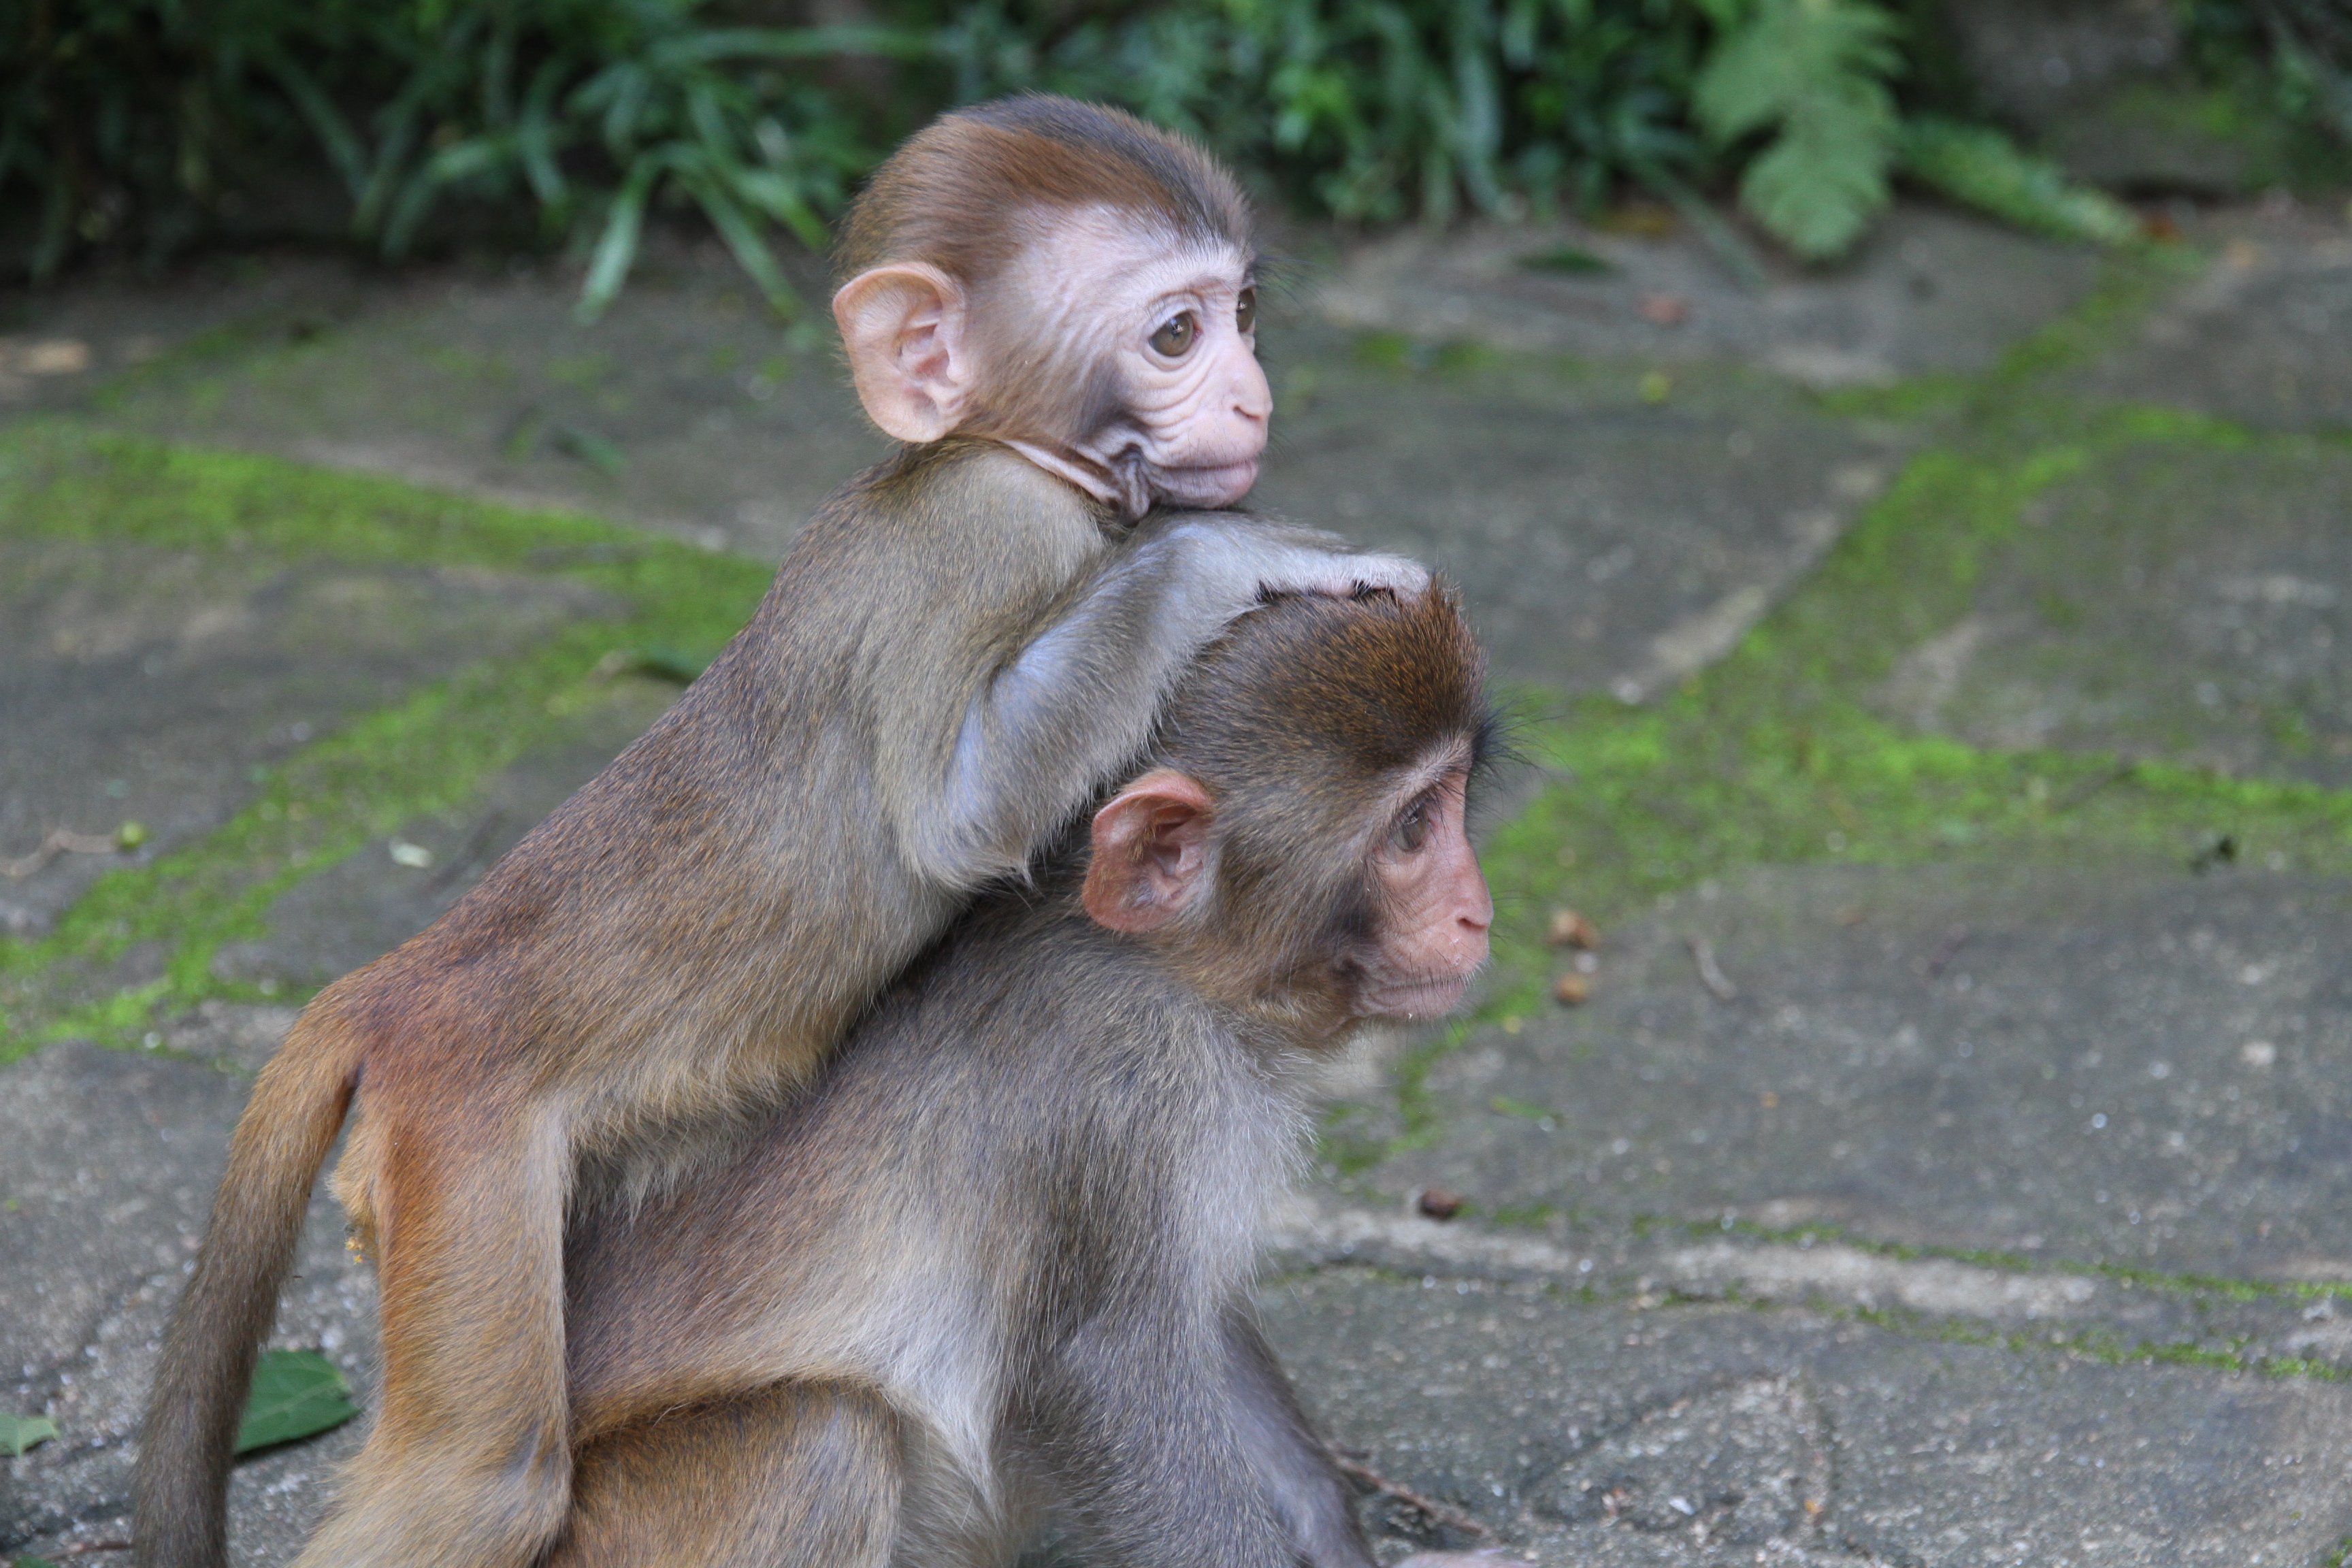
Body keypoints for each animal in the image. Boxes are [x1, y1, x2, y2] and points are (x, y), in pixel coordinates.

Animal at [553, 587, 1496, 1568]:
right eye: (1413, 829)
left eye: (1454, 801)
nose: (1479, 912)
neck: (1170, 975)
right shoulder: (1120, 1093)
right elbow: (1108, 1373)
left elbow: (1202, 1330)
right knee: (825, 1439)